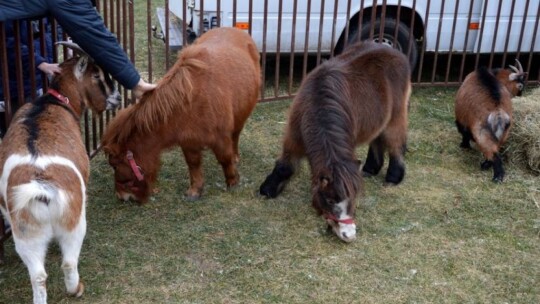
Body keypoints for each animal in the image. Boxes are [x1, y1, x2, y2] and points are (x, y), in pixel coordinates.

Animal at [0, 43, 119, 304]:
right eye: (96, 75)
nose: (116, 99)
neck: (52, 102)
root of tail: (41, 189)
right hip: (73, 222)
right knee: (68, 262)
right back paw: (77, 288)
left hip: (26, 231)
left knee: (37, 275)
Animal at [103, 28, 262, 203]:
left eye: (115, 165)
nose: (121, 196)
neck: (190, 102)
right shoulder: (188, 141)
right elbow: (193, 164)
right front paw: (195, 190)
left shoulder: (221, 138)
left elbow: (225, 159)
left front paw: (232, 182)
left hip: (241, 117)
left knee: (236, 136)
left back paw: (236, 157)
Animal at [260, 42, 412, 242]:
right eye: (330, 200)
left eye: (354, 198)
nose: (349, 235)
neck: (318, 107)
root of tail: (395, 51)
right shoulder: (294, 138)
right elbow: (285, 166)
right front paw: (268, 190)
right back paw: (371, 169)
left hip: (395, 118)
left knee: (396, 145)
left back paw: (394, 177)